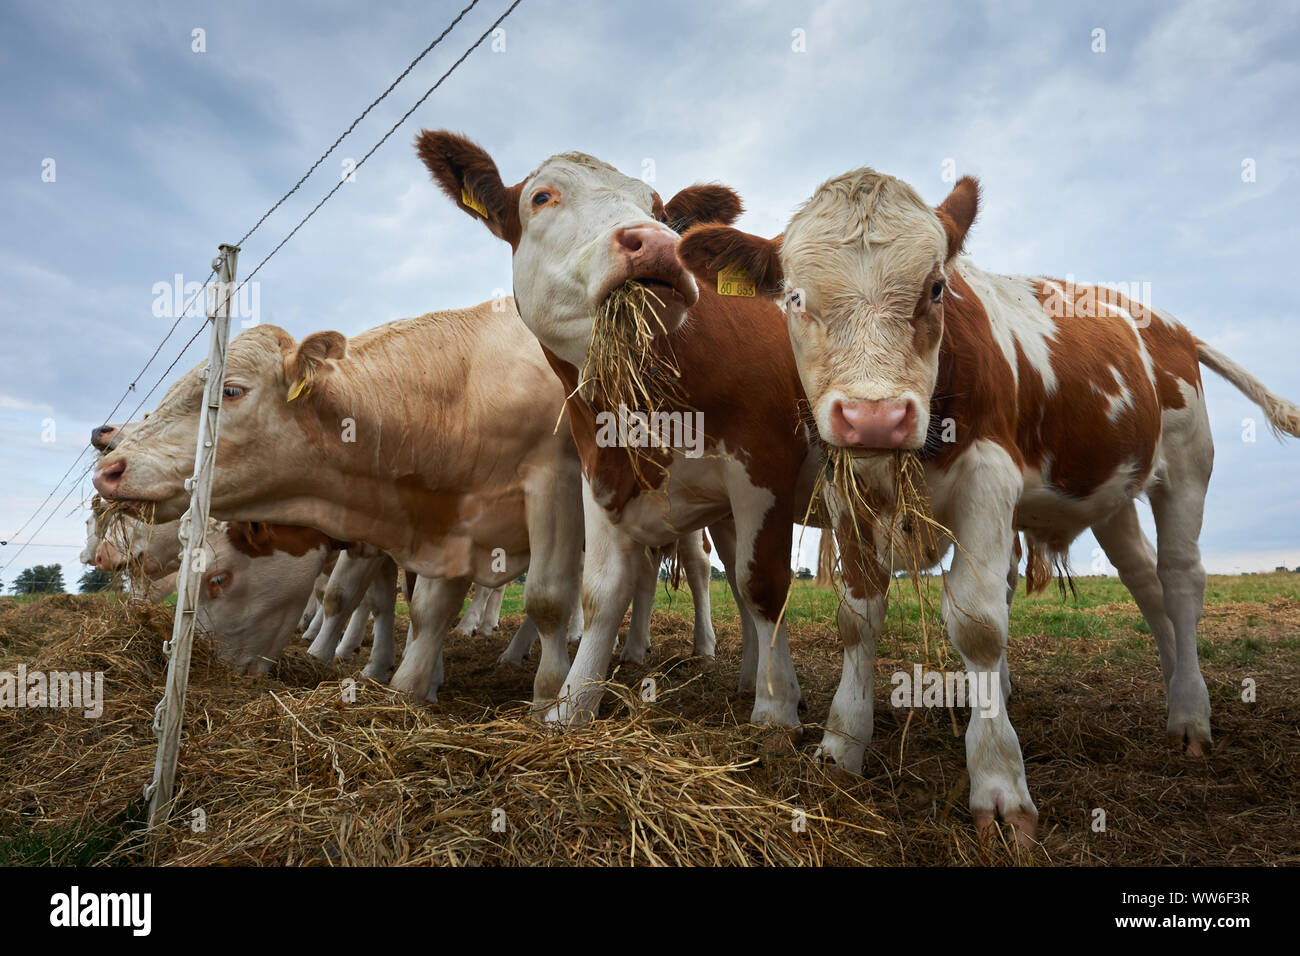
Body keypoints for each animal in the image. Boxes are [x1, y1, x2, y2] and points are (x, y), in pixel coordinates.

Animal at [416, 132, 821, 723]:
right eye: (541, 197)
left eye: (661, 213)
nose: (658, 245)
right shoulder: (599, 476)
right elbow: (601, 594)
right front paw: (571, 706)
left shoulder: (764, 466)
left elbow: (764, 584)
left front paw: (777, 710)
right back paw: (747, 674)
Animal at [670, 167, 1300, 842]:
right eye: (793, 297)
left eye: (936, 287)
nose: (875, 416)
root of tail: (1168, 325)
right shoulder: (847, 491)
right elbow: (857, 619)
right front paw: (841, 751)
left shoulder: (989, 477)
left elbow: (978, 624)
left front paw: (999, 784)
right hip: (1112, 498)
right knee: (1147, 584)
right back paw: (1175, 684)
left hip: (1185, 467)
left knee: (1180, 580)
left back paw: (1190, 717)